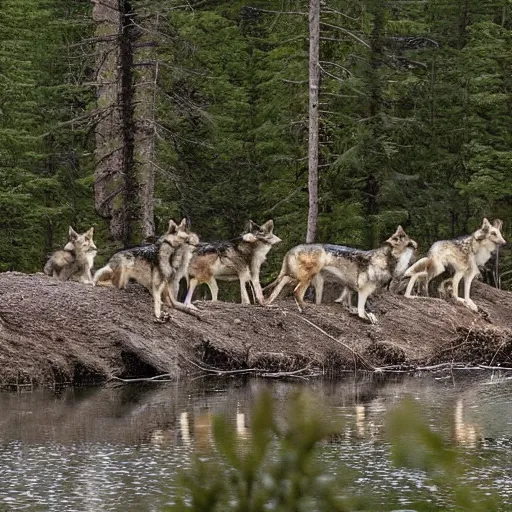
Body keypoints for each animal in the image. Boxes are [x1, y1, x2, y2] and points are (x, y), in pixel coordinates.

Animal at [264, 226, 416, 322]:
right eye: (408, 241)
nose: (417, 245)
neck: (388, 258)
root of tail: (291, 250)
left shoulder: (350, 287)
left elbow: (347, 302)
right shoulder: (364, 290)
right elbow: (363, 309)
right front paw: (365, 317)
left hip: (303, 279)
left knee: (278, 289)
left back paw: (269, 304)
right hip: (307, 277)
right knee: (297, 293)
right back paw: (304, 309)